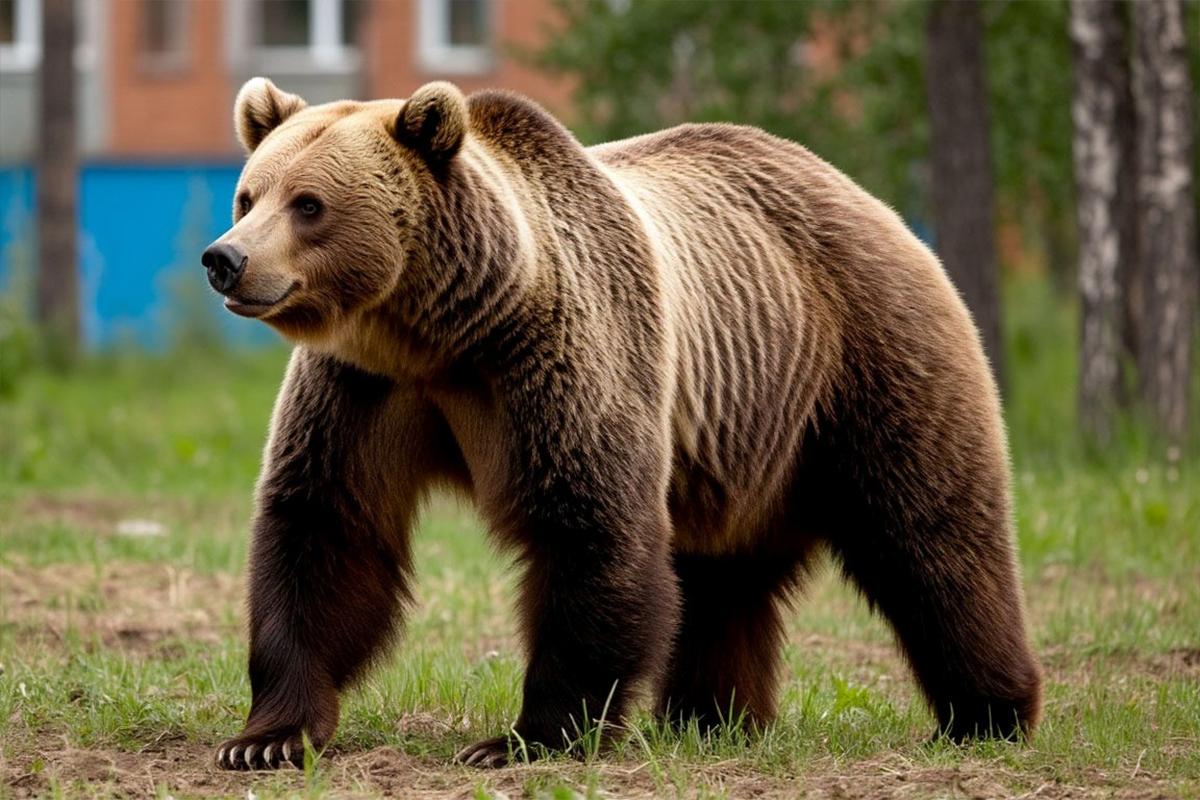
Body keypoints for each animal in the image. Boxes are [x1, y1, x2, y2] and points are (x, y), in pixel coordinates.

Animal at [203, 77, 1042, 770]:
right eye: (250, 195)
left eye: (309, 203)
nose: (225, 259)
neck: (438, 332)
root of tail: (871, 201)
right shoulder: (364, 388)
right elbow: (326, 529)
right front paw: (267, 737)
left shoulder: (555, 358)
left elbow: (589, 527)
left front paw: (525, 738)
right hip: (742, 440)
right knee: (721, 580)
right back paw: (712, 716)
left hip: (866, 363)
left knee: (931, 536)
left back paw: (988, 714)